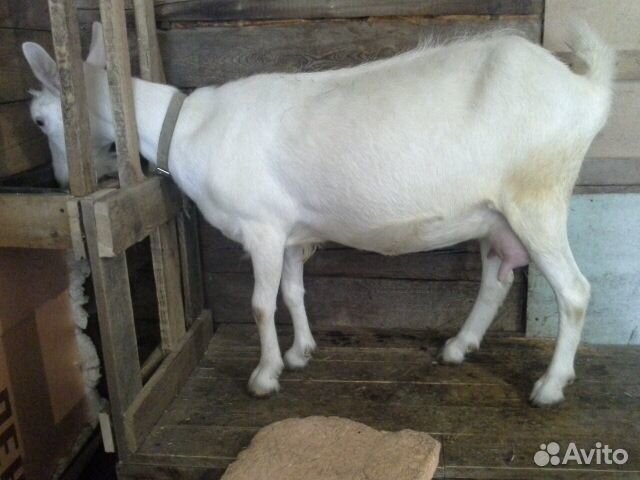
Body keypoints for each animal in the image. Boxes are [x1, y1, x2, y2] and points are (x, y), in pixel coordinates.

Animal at [23, 22, 614, 406]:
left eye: (41, 120)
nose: (59, 183)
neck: (188, 127)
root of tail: (588, 89)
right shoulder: (289, 232)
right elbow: (292, 292)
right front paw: (301, 351)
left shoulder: (261, 227)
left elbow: (260, 304)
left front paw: (265, 375)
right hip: (496, 215)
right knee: (496, 280)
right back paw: (458, 347)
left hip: (537, 198)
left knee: (575, 291)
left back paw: (550, 387)